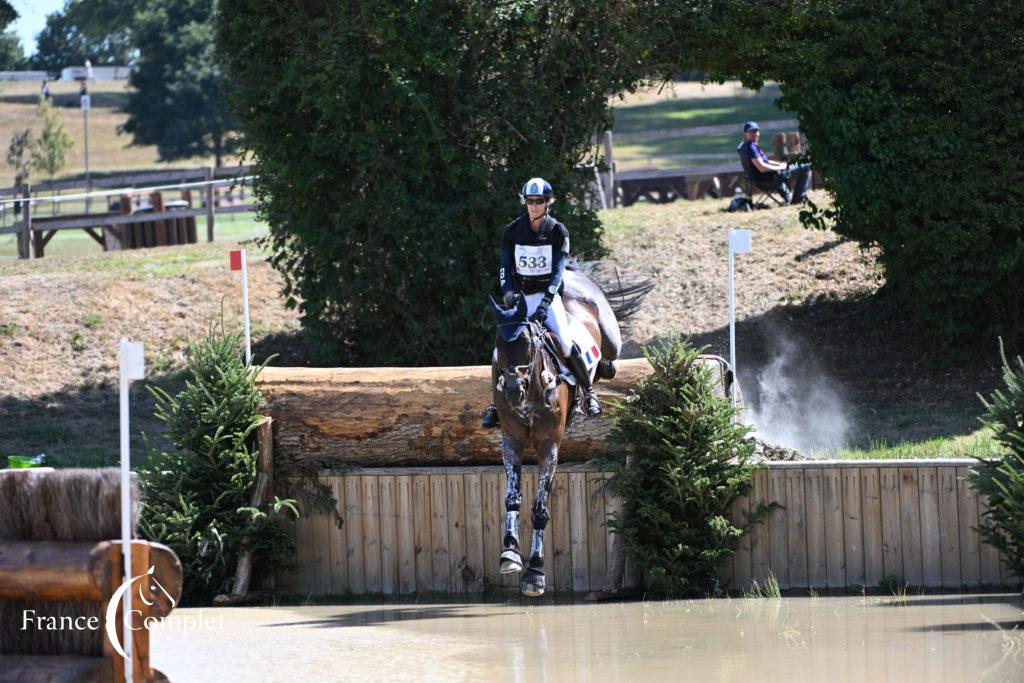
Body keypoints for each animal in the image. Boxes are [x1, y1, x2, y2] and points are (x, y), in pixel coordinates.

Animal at [485, 259, 647, 593]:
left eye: (528, 343)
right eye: (498, 345)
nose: (513, 392)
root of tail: (573, 276)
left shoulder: (550, 444)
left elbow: (540, 507)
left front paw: (535, 572)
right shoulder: (511, 439)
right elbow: (512, 497)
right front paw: (509, 554)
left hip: (610, 336)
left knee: (608, 357)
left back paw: (600, 382)